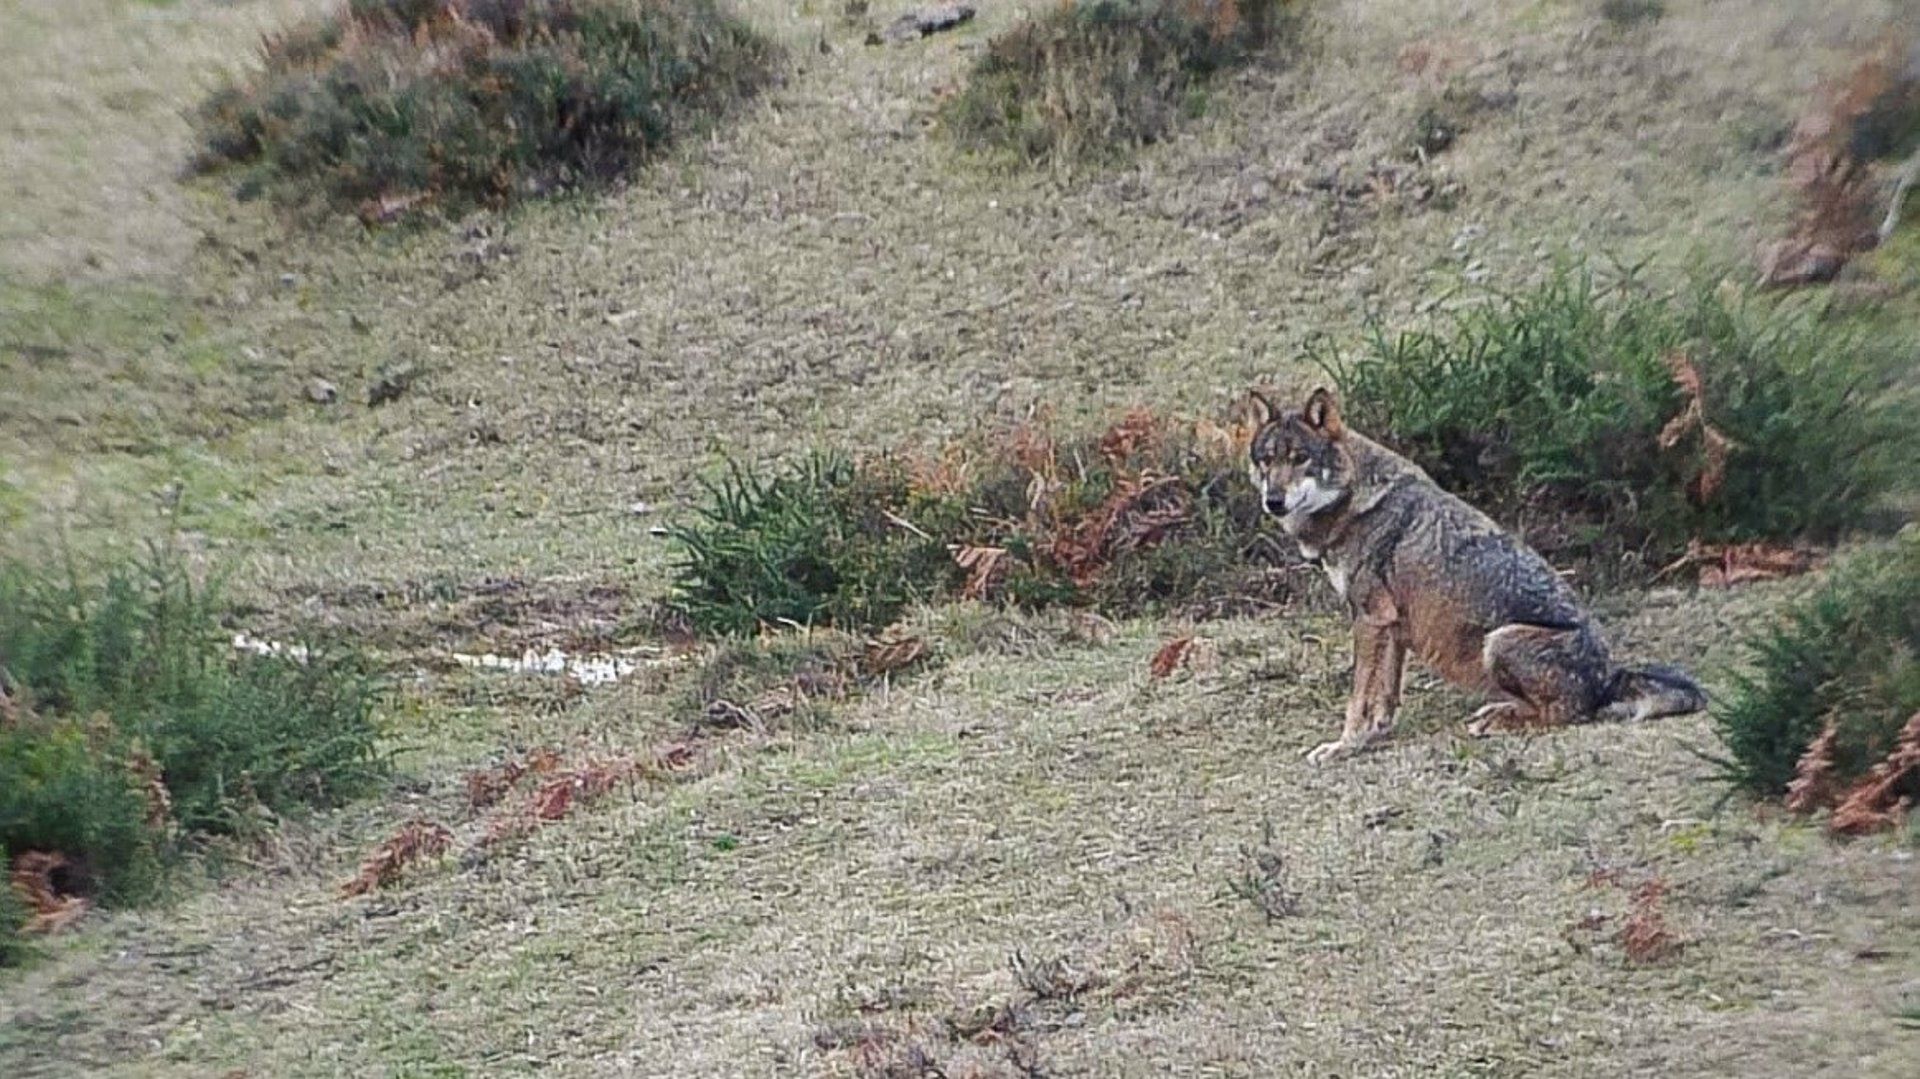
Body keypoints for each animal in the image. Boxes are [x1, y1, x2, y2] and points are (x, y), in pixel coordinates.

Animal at [1244, 382, 1712, 760]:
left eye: (1300, 459)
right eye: (1266, 461)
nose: (1273, 501)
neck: (1352, 503)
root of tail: (1609, 676)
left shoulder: (1370, 619)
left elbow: (1358, 699)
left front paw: (1343, 746)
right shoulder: (1391, 625)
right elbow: (1384, 699)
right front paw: (1372, 738)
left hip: (1500, 641)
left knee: (1566, 715)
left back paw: (1498, 721)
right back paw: (1495, 712)